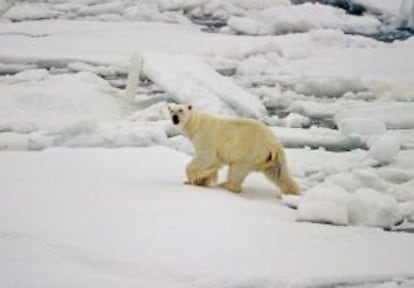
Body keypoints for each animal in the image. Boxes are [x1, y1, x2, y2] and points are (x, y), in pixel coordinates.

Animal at [168, 103, 300, 196]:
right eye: (171, 110)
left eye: (181, 110)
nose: (175, 117)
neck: (197, 124)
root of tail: (274, 144)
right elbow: (214, 162)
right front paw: (203, 180)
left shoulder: (205, 137)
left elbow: (206, 157)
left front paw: (194, 178)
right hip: (272, 158)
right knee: (280, 173)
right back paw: (294, 191)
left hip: (250, 151)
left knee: (237, 169)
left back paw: (225, 185)